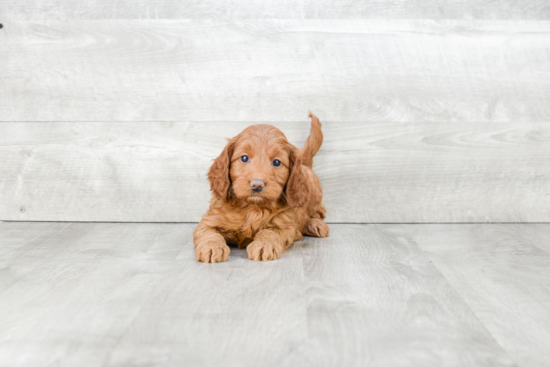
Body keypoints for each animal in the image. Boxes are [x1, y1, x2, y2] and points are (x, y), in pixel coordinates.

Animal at [195, 111, 330, 262]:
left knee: (317, 213)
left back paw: (316, 224)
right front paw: (212, 247)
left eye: (276, 162)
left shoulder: (284, 225)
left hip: (314, 190)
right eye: (244, 158)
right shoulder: (209, 220)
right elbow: (209, 233)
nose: (257, 185)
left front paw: (263, 245)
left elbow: (270, 231)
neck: (251, 208)